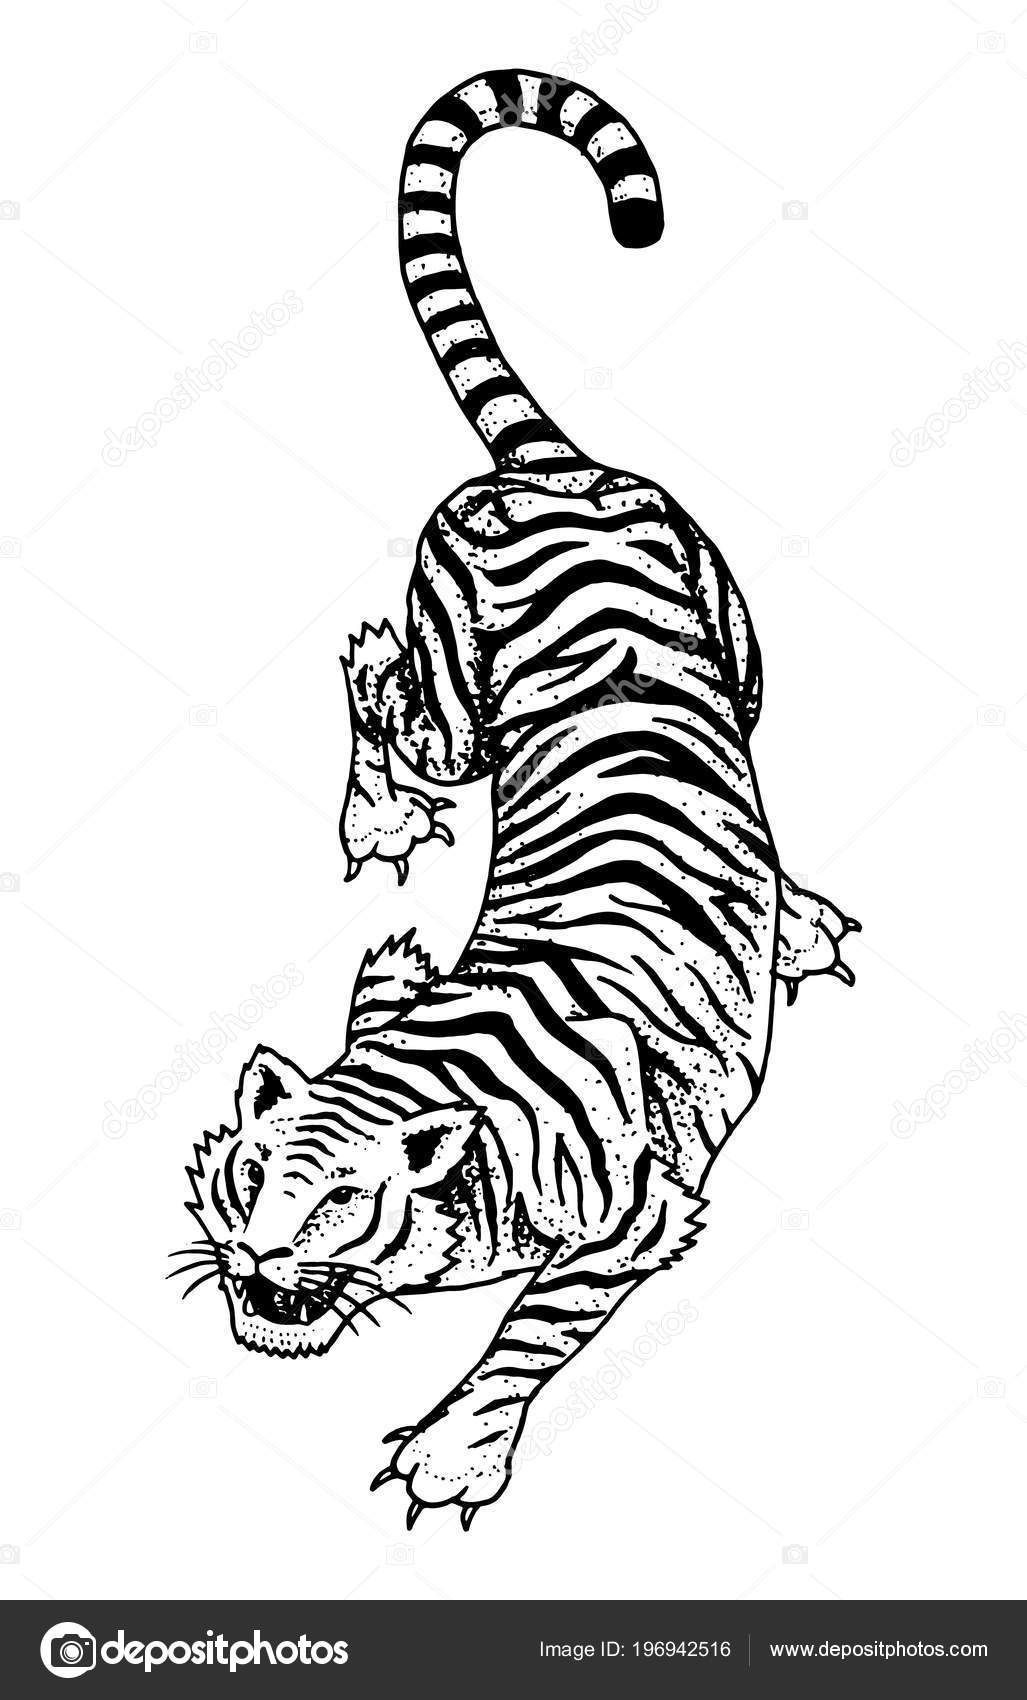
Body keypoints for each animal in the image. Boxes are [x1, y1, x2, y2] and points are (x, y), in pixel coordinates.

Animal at [179, 69, 858, 1529]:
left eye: (342, 1206)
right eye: (252, 1176)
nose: (254, 1272)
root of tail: (552, 469)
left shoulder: (635, 1219)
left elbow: (523, 1339)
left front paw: (449, 1458)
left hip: (717, 667)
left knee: (386, 676)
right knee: (382, 675)